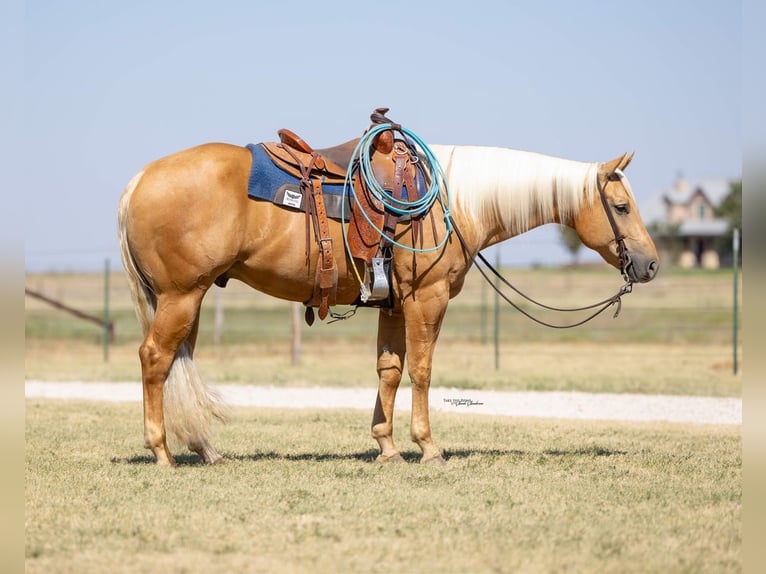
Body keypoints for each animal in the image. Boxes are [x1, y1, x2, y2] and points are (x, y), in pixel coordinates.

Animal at [118, 132, 659, 467]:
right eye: (621, 206)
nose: (650, 265)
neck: (452, 202)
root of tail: (139, 179)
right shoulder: (427, 300)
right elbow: (421, 370)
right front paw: (428, 447)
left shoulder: (396, 304)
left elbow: (390, 370)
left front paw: (387, 446)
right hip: (181, 296)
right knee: (155, 359)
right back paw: (162, 451)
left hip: (188, 298)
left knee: (178, 361)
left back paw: (205, 448)